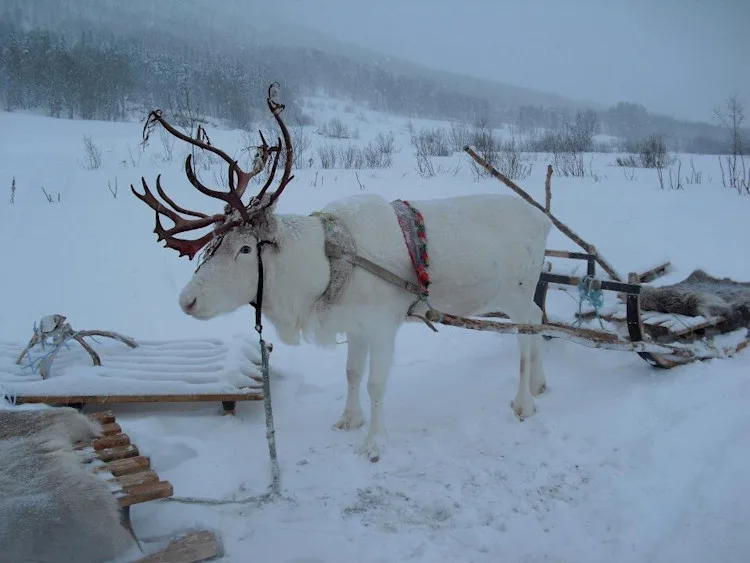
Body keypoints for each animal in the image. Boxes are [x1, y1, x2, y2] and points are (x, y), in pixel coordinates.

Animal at [132, 83, 553, 462]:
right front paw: (349, 420)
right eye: (211, 246)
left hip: (516, 292)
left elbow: (376, 384)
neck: (325, 267)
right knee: (538, 318)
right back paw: (538, 384)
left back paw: (523, 400)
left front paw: (374, 444)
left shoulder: (383, 326)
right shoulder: (355, 326)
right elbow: (351, 374)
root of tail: (544, 219)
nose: (188, 300)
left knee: (528, 328)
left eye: (246, 248)